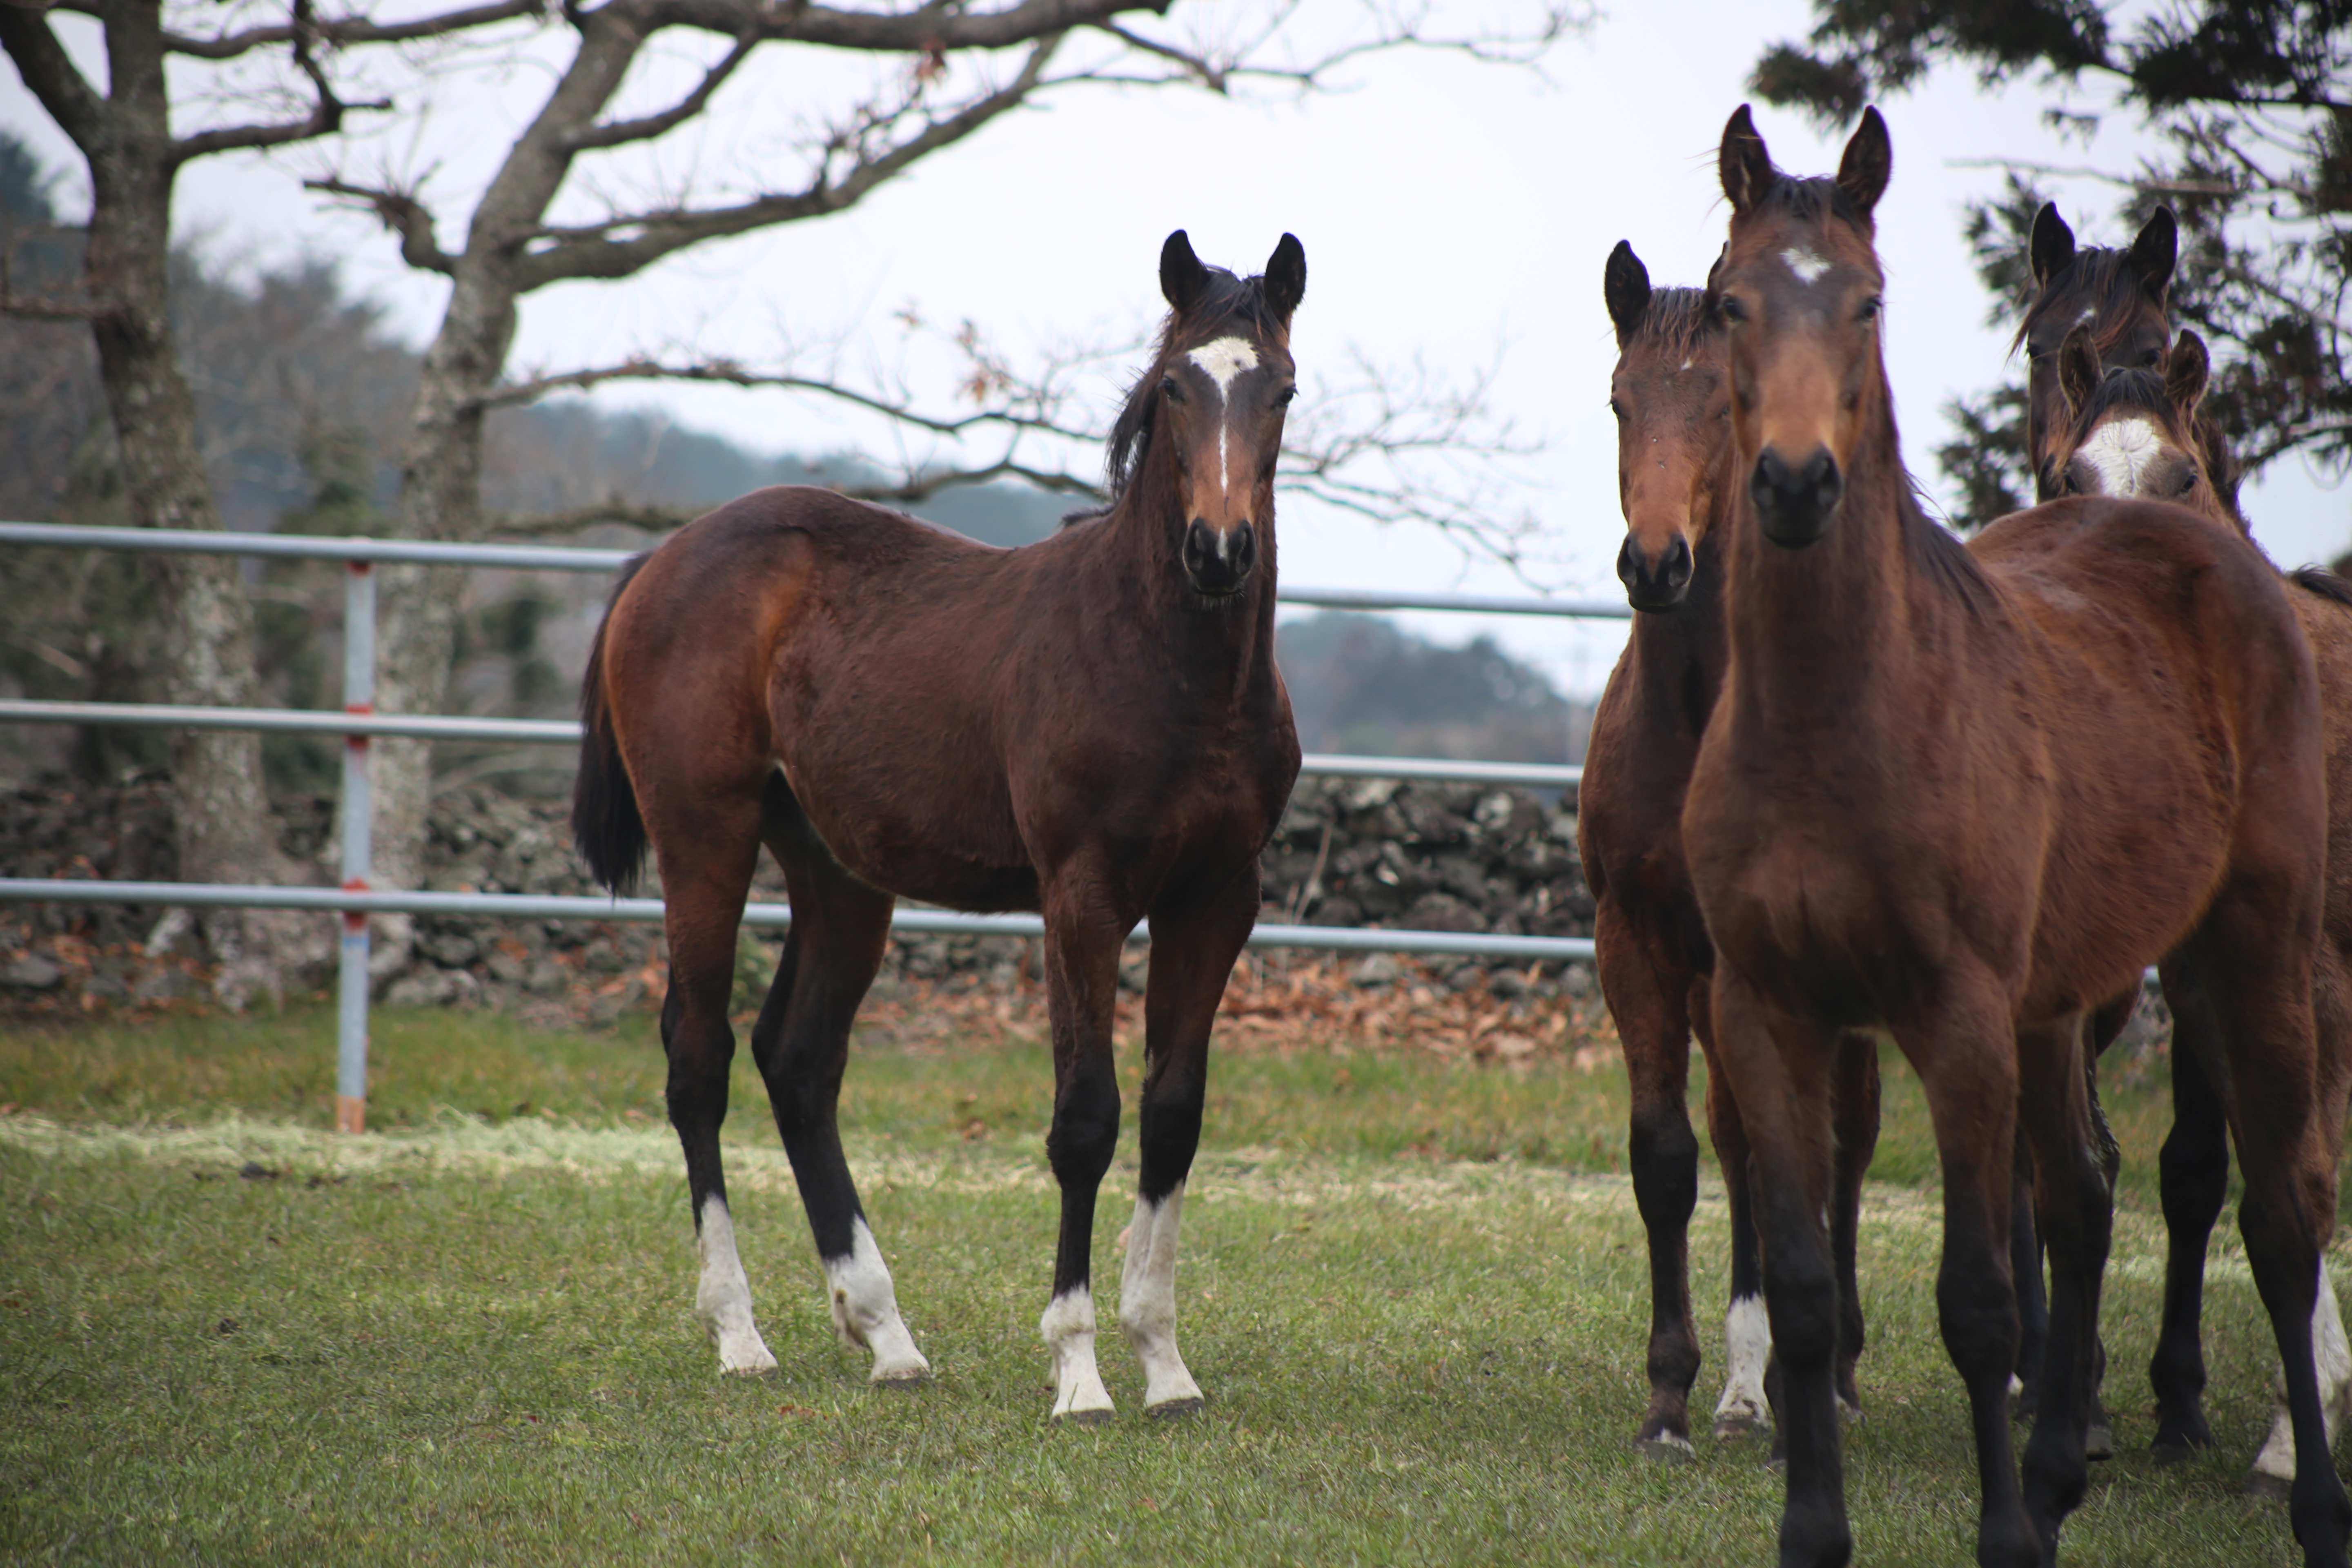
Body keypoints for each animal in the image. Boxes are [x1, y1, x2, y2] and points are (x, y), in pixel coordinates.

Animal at [569, 230, 1307, 1420]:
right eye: (1175, 387)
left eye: (1278, 388)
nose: (1219, 550)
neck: (1164, 662)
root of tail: (661, 561)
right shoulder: (1081, 896)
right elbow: (1084, 1120)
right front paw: (1079, 1371)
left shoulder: (1216, 900)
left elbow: (1172, 1117)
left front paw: (1164, 1363)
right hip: (704, 839)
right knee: (699, 1058)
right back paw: (740, 1334)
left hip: (837, 872)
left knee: (798, 1060)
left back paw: (885, 1333)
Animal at [2041, 315, 2352, 1486]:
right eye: (2066, 475)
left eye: (2181, 477)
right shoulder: (2215, 979)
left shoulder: (2314, 980)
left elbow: (2298, 1181)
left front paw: (2291, 1436)